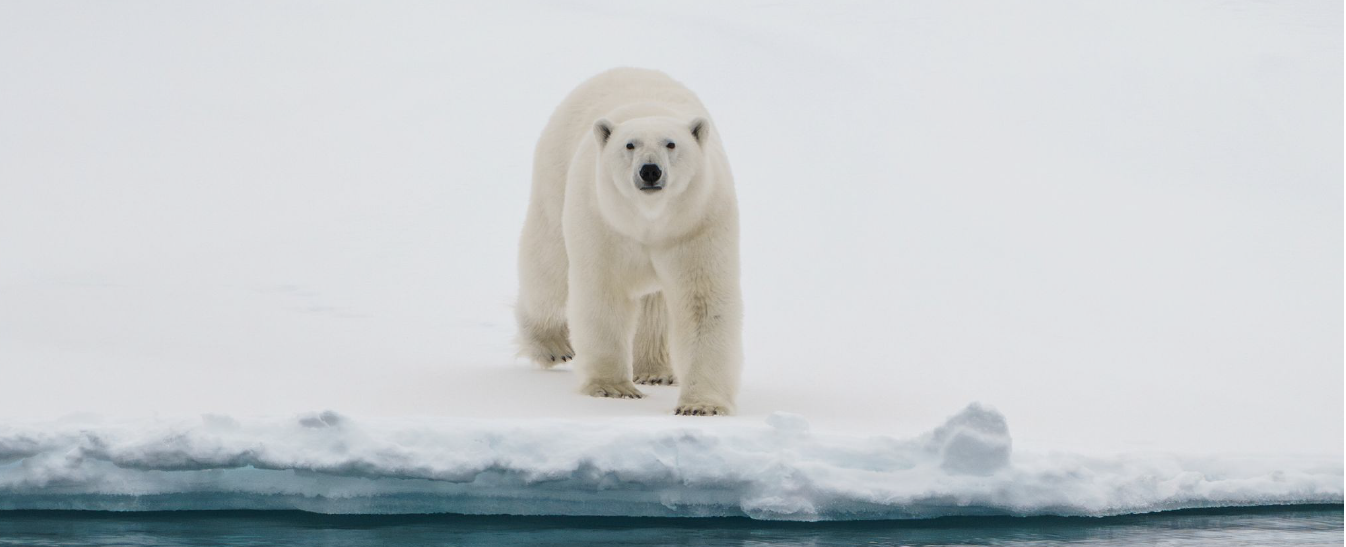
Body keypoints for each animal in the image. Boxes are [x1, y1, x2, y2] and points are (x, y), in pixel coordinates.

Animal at [516, 68, 743, 416]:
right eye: (629, 145)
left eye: (671, 143)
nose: (650, 170)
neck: (649, 221)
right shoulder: (603, 224)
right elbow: (603, 293)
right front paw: (612, 388)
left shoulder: (696, 225)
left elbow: (701, 303)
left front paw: (701, 406)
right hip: (555, 174)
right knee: (548, 270)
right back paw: (551, 345)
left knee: (654, 306)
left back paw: (654, 369)